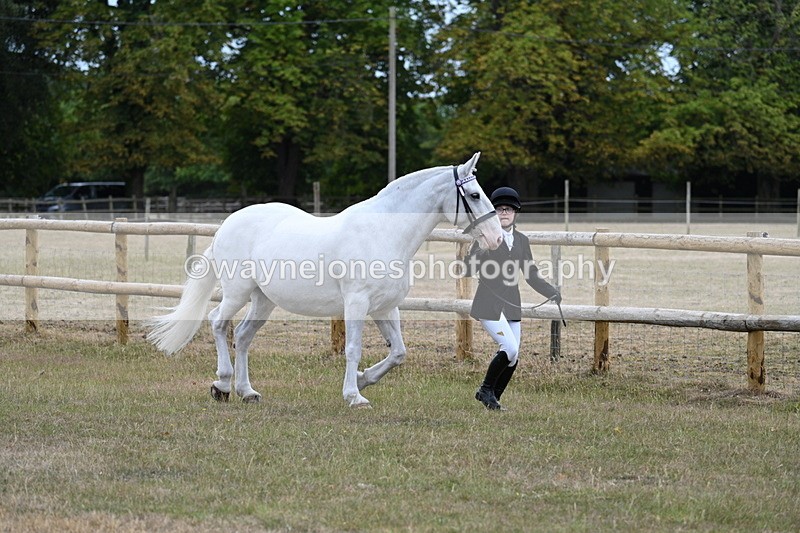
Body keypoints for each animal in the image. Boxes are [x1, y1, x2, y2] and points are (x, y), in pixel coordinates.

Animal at [147, 152, 503, 407]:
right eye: (474, 195)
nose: (497, 238)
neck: (383, 232)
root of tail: (227, 224)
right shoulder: (357, 304)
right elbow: (353, 348)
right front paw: (354, 395)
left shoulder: (385, 307)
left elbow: (398, 353)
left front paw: (363, 379)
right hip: (237, 292)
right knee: (218, 323)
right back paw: (221, 385)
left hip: (264, 300)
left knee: (244, 337)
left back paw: (247, 392)